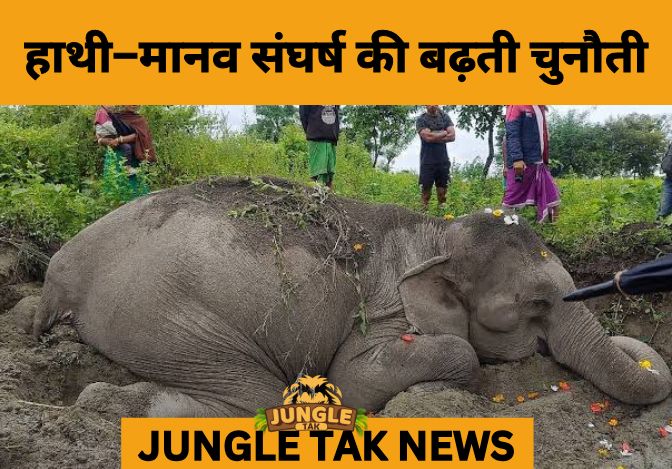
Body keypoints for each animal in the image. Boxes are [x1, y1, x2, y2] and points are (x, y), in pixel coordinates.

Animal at [32, 177, 672, 416]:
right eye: (535, 306)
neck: (436, 233)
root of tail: (58, 273)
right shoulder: (384, 310)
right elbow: (360, 378)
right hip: (162, 314)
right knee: (257, 399)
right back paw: (116, 403)